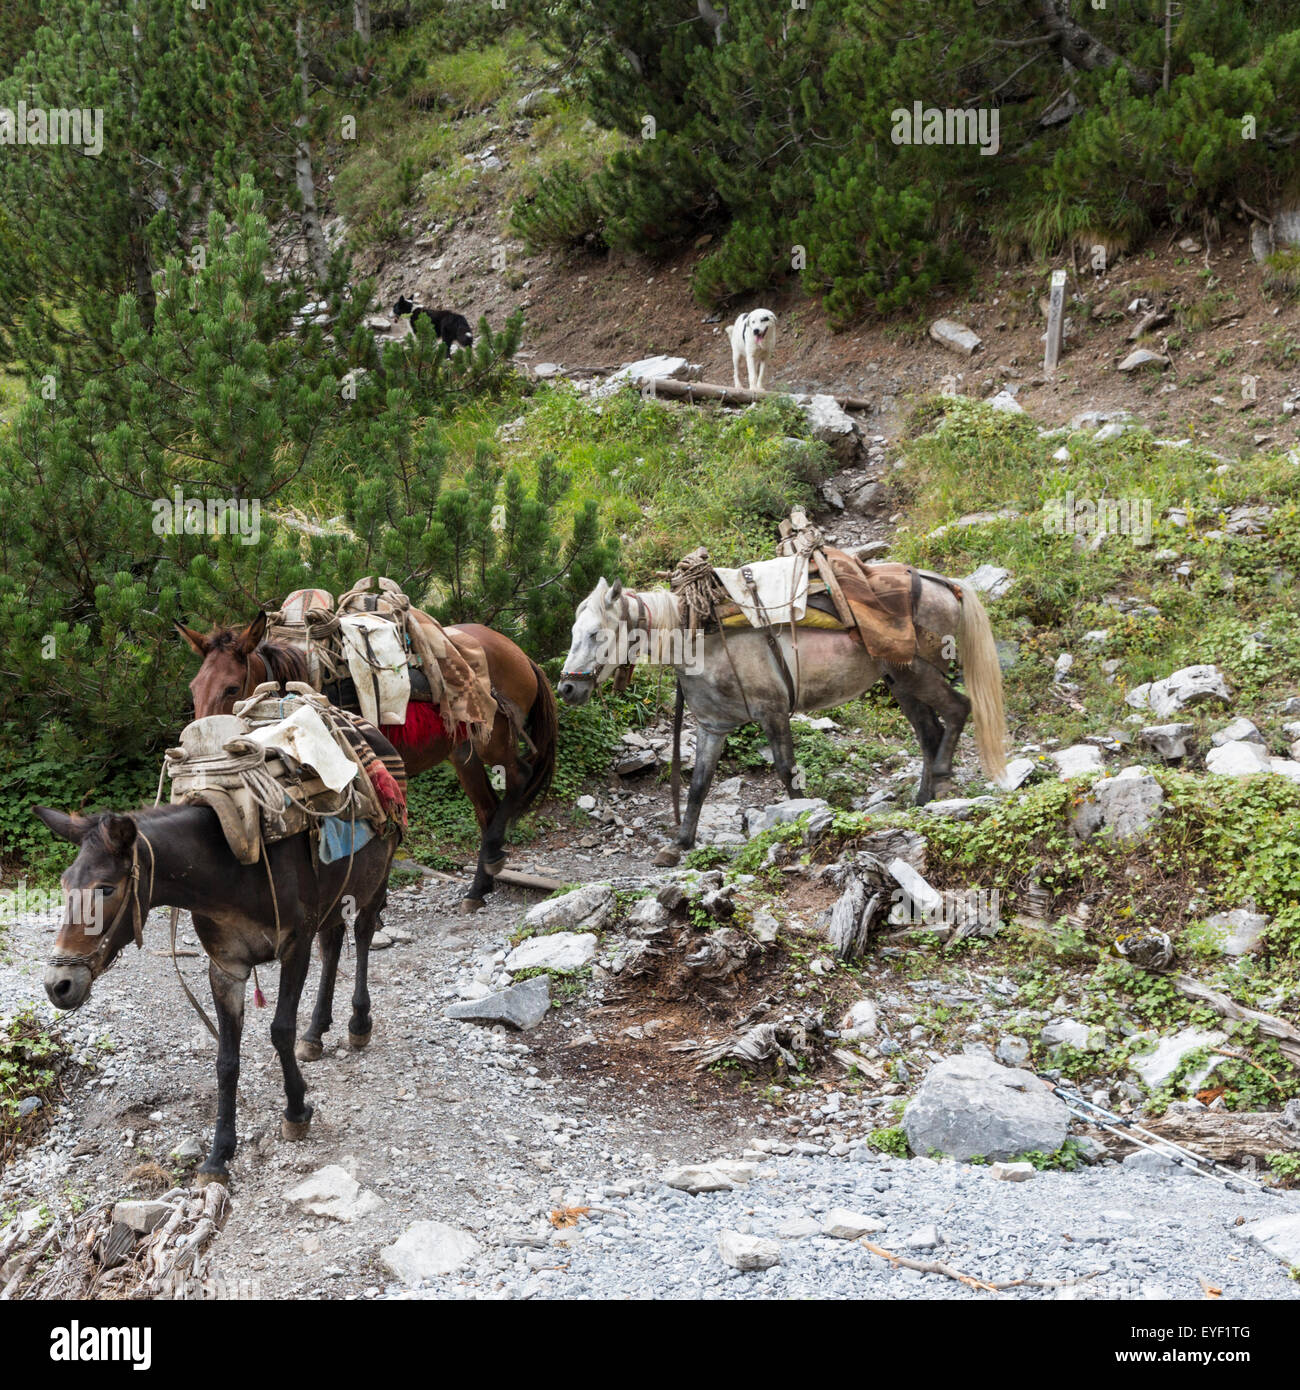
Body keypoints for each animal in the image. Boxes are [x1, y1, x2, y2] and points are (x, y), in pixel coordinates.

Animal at [176, 614, 553, 906]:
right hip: (464, 752)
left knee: (520, 776)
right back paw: (479, 886)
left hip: (494, 739)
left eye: (231, 688)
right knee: (487, 807)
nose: (197, 752)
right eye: (194, 687)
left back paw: (490, 864)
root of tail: (518, 653)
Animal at [556, 572, 1006, 856]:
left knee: (958, 709)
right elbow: (699, 784)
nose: (566, 688)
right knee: (930, 732)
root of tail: (946, 585)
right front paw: (680, 843)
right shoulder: (713, 727)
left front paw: (802, 824)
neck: (699, 636)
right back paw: (922, 800)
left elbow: (788, 774)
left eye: (595, 634)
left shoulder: (773, 713)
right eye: (573, 633)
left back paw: (942, 778)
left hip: (916, 672)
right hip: (900, 682)